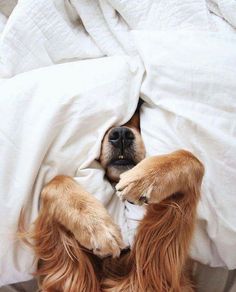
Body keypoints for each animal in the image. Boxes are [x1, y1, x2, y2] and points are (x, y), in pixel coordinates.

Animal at [20, 101, 205, 290]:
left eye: (139, 106)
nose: (121, 134)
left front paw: (144, 178)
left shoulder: (156, 272)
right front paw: (97, 227)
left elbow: (193, 158)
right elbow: (54, 181)